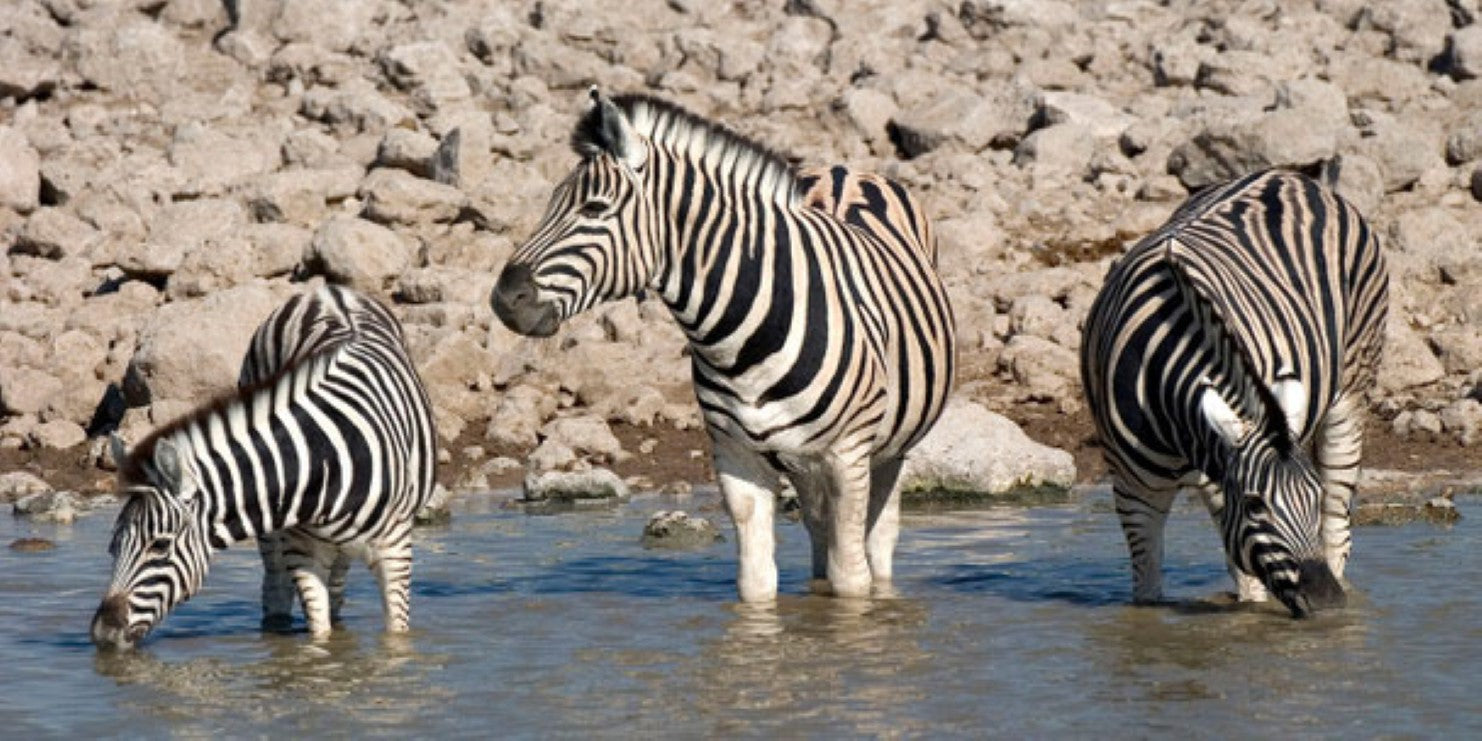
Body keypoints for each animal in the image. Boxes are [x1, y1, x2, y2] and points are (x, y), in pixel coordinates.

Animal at [91, 284, 438, 649]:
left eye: (159, 546)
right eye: (113, 544)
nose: (103, 634)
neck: (321, 460)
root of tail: (326, 291)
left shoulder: (395, 550)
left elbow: (395, 633)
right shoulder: (302, 549)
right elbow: (319, 633)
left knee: (335, 588)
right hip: (273, 530)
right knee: (276, 588)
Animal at [491, 89, 955, 602]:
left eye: (594, 208)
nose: (504, 299)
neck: (746, 343)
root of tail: (843, 169)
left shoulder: (847, 455)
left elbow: (852, 581)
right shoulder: (738, 460)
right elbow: (756, 583)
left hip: (889, 448)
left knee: (878, 540)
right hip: (804, 464)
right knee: (819, 534)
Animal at [1080, 168, 1388, 618]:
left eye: (1311, 497)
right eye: (1256, 505)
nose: (1327, 603)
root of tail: (1289, 175)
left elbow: (1250, 584)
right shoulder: (1134, 490)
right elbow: (1148, 587)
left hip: (1353, 386)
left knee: (1337, 524)